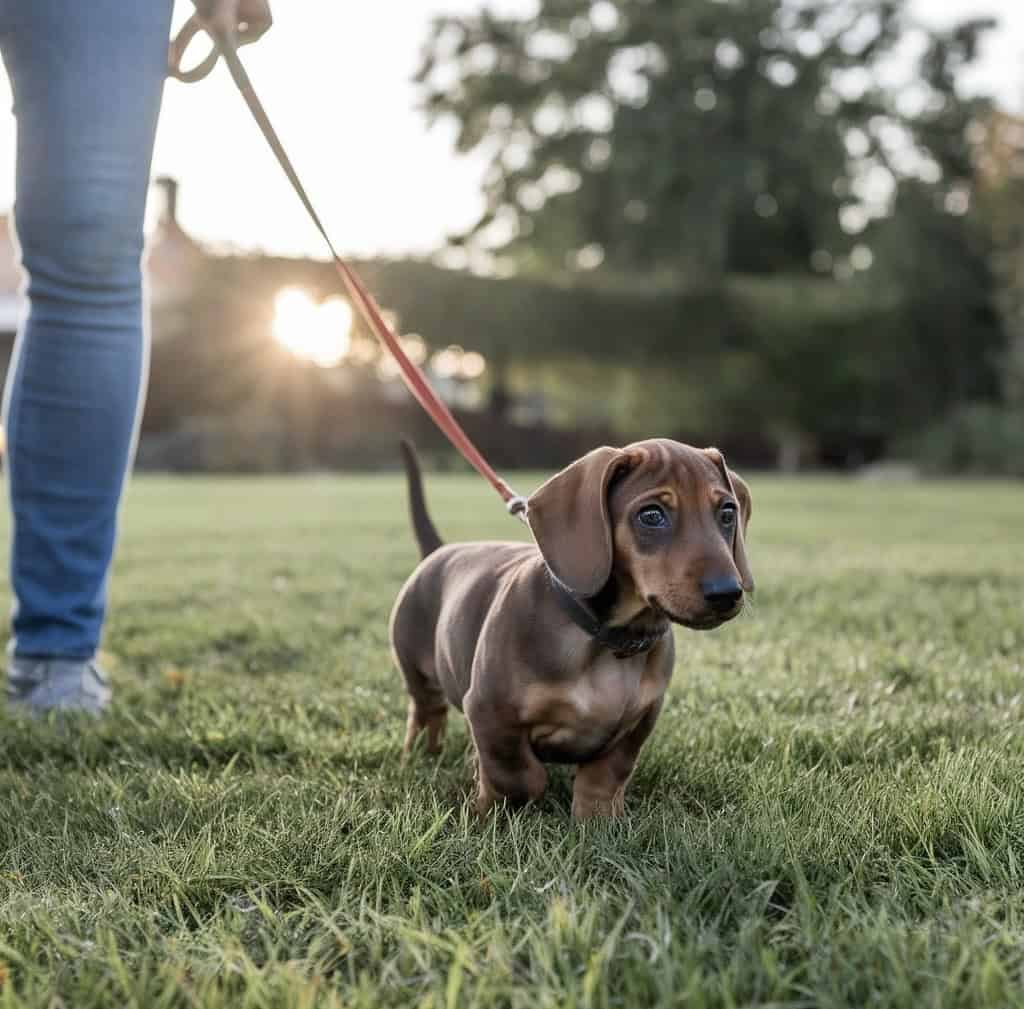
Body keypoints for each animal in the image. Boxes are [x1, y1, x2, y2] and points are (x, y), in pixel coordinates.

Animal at [389, 436, 753, 815]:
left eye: (728, 513)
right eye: (651, 515)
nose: (727, 592)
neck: (607, 640)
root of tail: (440, 550)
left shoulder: (638, 723)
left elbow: (605, 778)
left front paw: (598, 819)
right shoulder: (491, 711)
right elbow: (517, 775)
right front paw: (492, 805)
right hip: (418, 676)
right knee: (427, 716)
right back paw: (422, 757)